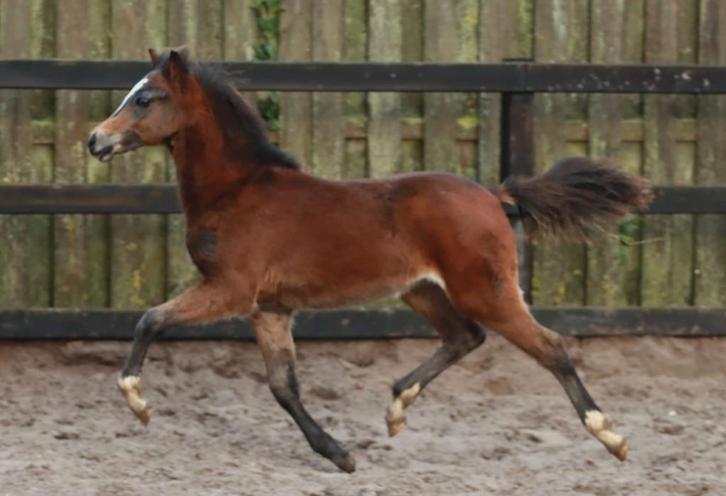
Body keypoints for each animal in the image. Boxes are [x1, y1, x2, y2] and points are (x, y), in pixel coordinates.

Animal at [88, 47, 652, 473]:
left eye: (145, 98)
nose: (96, 140)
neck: (239, 190)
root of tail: (494, 195)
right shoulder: (269, 308)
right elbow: (283, 387)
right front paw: (340, 455)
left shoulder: (231, 290)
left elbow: (150, 319)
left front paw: (138, 402)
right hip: (422, 290)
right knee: (465, 336)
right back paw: (397, 408)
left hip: (485, 290)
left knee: (549, 346)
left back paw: (613, 437)